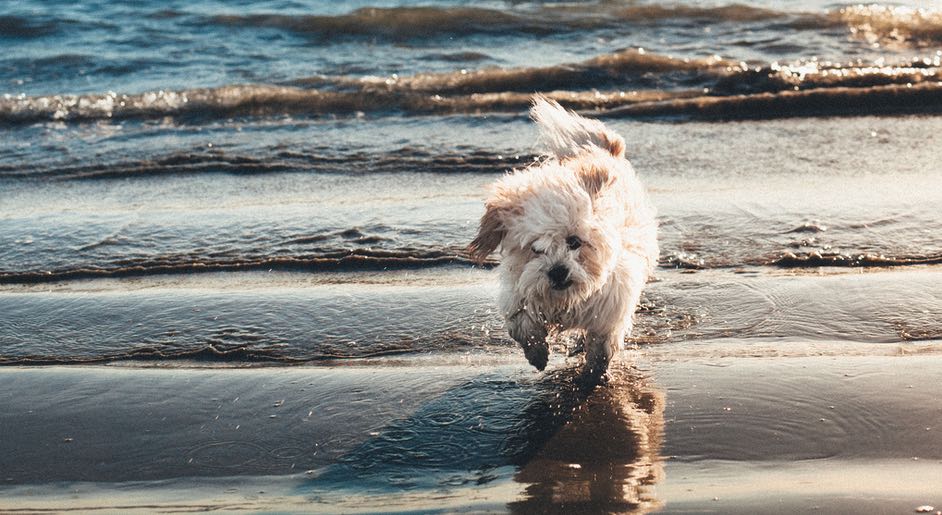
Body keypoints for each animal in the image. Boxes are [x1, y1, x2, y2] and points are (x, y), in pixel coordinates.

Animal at [468, 95, 660, 378]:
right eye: (535, 248)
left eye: (574, 241)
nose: (557, 271)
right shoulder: (519, 293)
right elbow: (523, 324)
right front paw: (537, 354)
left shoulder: (612, 302)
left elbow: (601, 343)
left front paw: (593, 373)